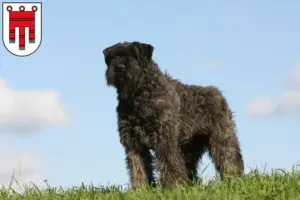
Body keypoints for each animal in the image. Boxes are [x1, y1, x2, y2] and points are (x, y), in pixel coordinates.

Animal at [103, 41, 244, 188]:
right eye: (114, 57)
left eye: (135, 56)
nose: (120, 67)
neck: (139, 96)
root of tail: (219, 93)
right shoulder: (134, 143)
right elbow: (138, 168)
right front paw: (141, 189)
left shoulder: (165, 139)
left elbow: (170, 165)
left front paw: (173, 187)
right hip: (190, 148)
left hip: (221, 138)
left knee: (230, 159)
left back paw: (234, 180)